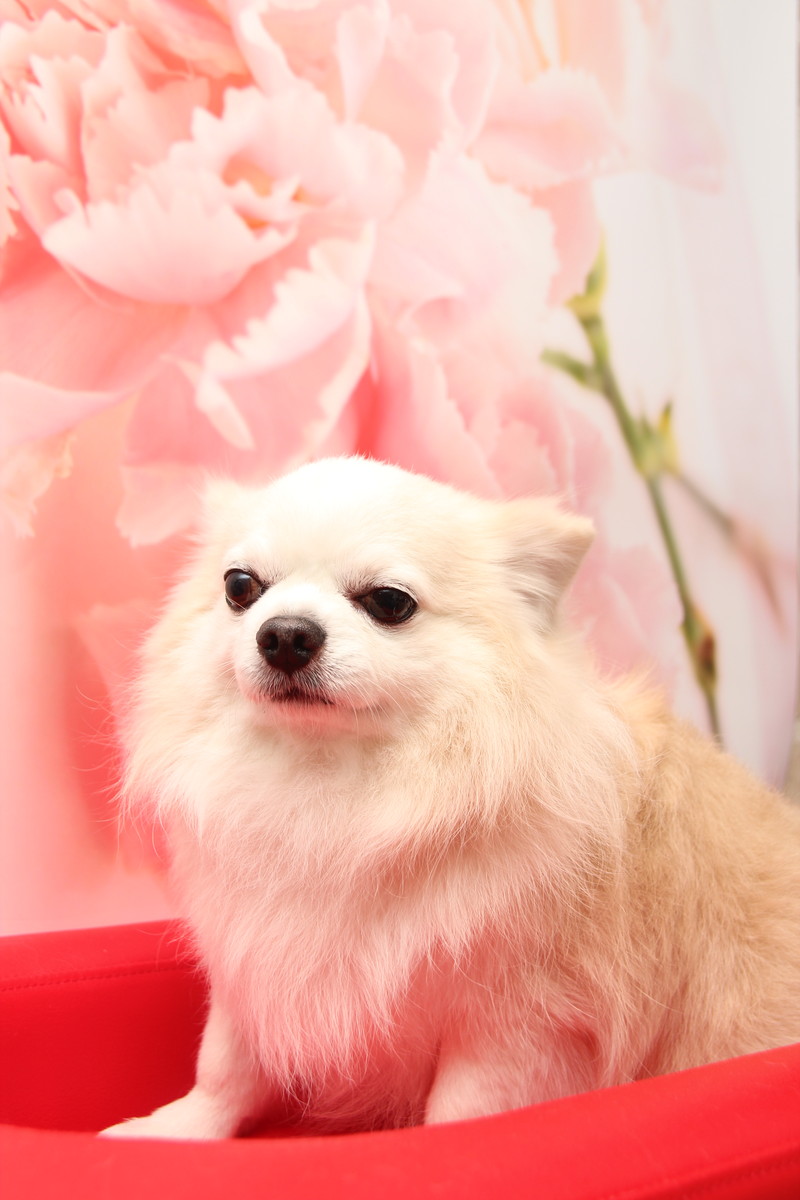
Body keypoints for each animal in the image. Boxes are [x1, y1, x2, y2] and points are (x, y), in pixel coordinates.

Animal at [102, 455, 800, 1139]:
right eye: (240, 588)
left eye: (389, 602)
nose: (285, 634)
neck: (332, 784)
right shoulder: (254, 960)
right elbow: (225, 1066)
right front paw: (173, 1130)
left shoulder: (518, 1023)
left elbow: (462, 1113)